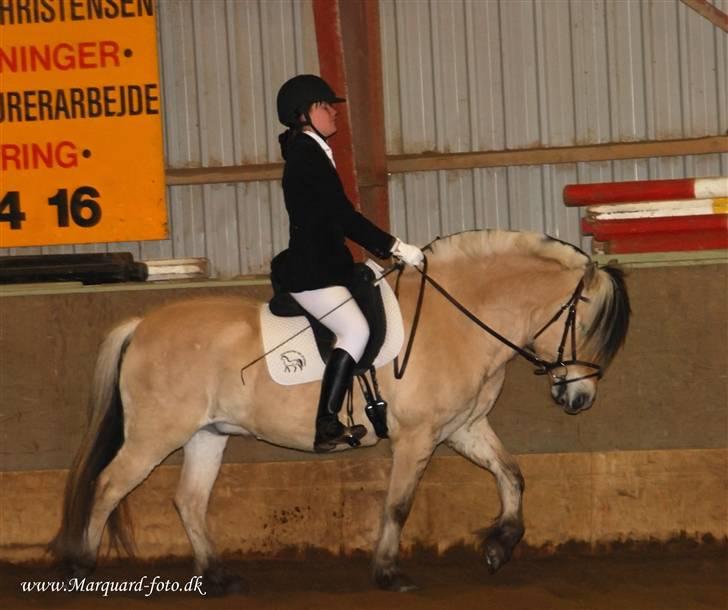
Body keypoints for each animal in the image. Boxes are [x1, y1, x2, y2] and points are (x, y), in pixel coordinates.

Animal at [52, 228, 632, 588]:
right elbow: (398, 505)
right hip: (156, 434)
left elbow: (511, 475)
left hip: (206, 435)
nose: (578, 399)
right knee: (109, 485)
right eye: (585, 324)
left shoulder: (463, 427)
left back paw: (218, 577)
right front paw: (389, 574)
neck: (459, 317)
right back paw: (83, 569)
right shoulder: (418, 437)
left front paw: (499, 547)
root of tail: (141, 326)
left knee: (189, 500)